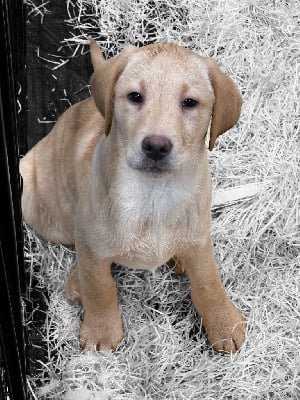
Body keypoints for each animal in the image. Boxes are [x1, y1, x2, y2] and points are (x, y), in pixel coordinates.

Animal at [21, 40, 246, 354]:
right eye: (135, 97)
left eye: (190, 102)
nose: (156, 146)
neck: (153, 194)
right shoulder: (91, 238)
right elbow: (99, 285)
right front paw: (101, 330)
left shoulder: (200, 236)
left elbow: (207, 280)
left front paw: (224, 323)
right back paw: (77, 281)